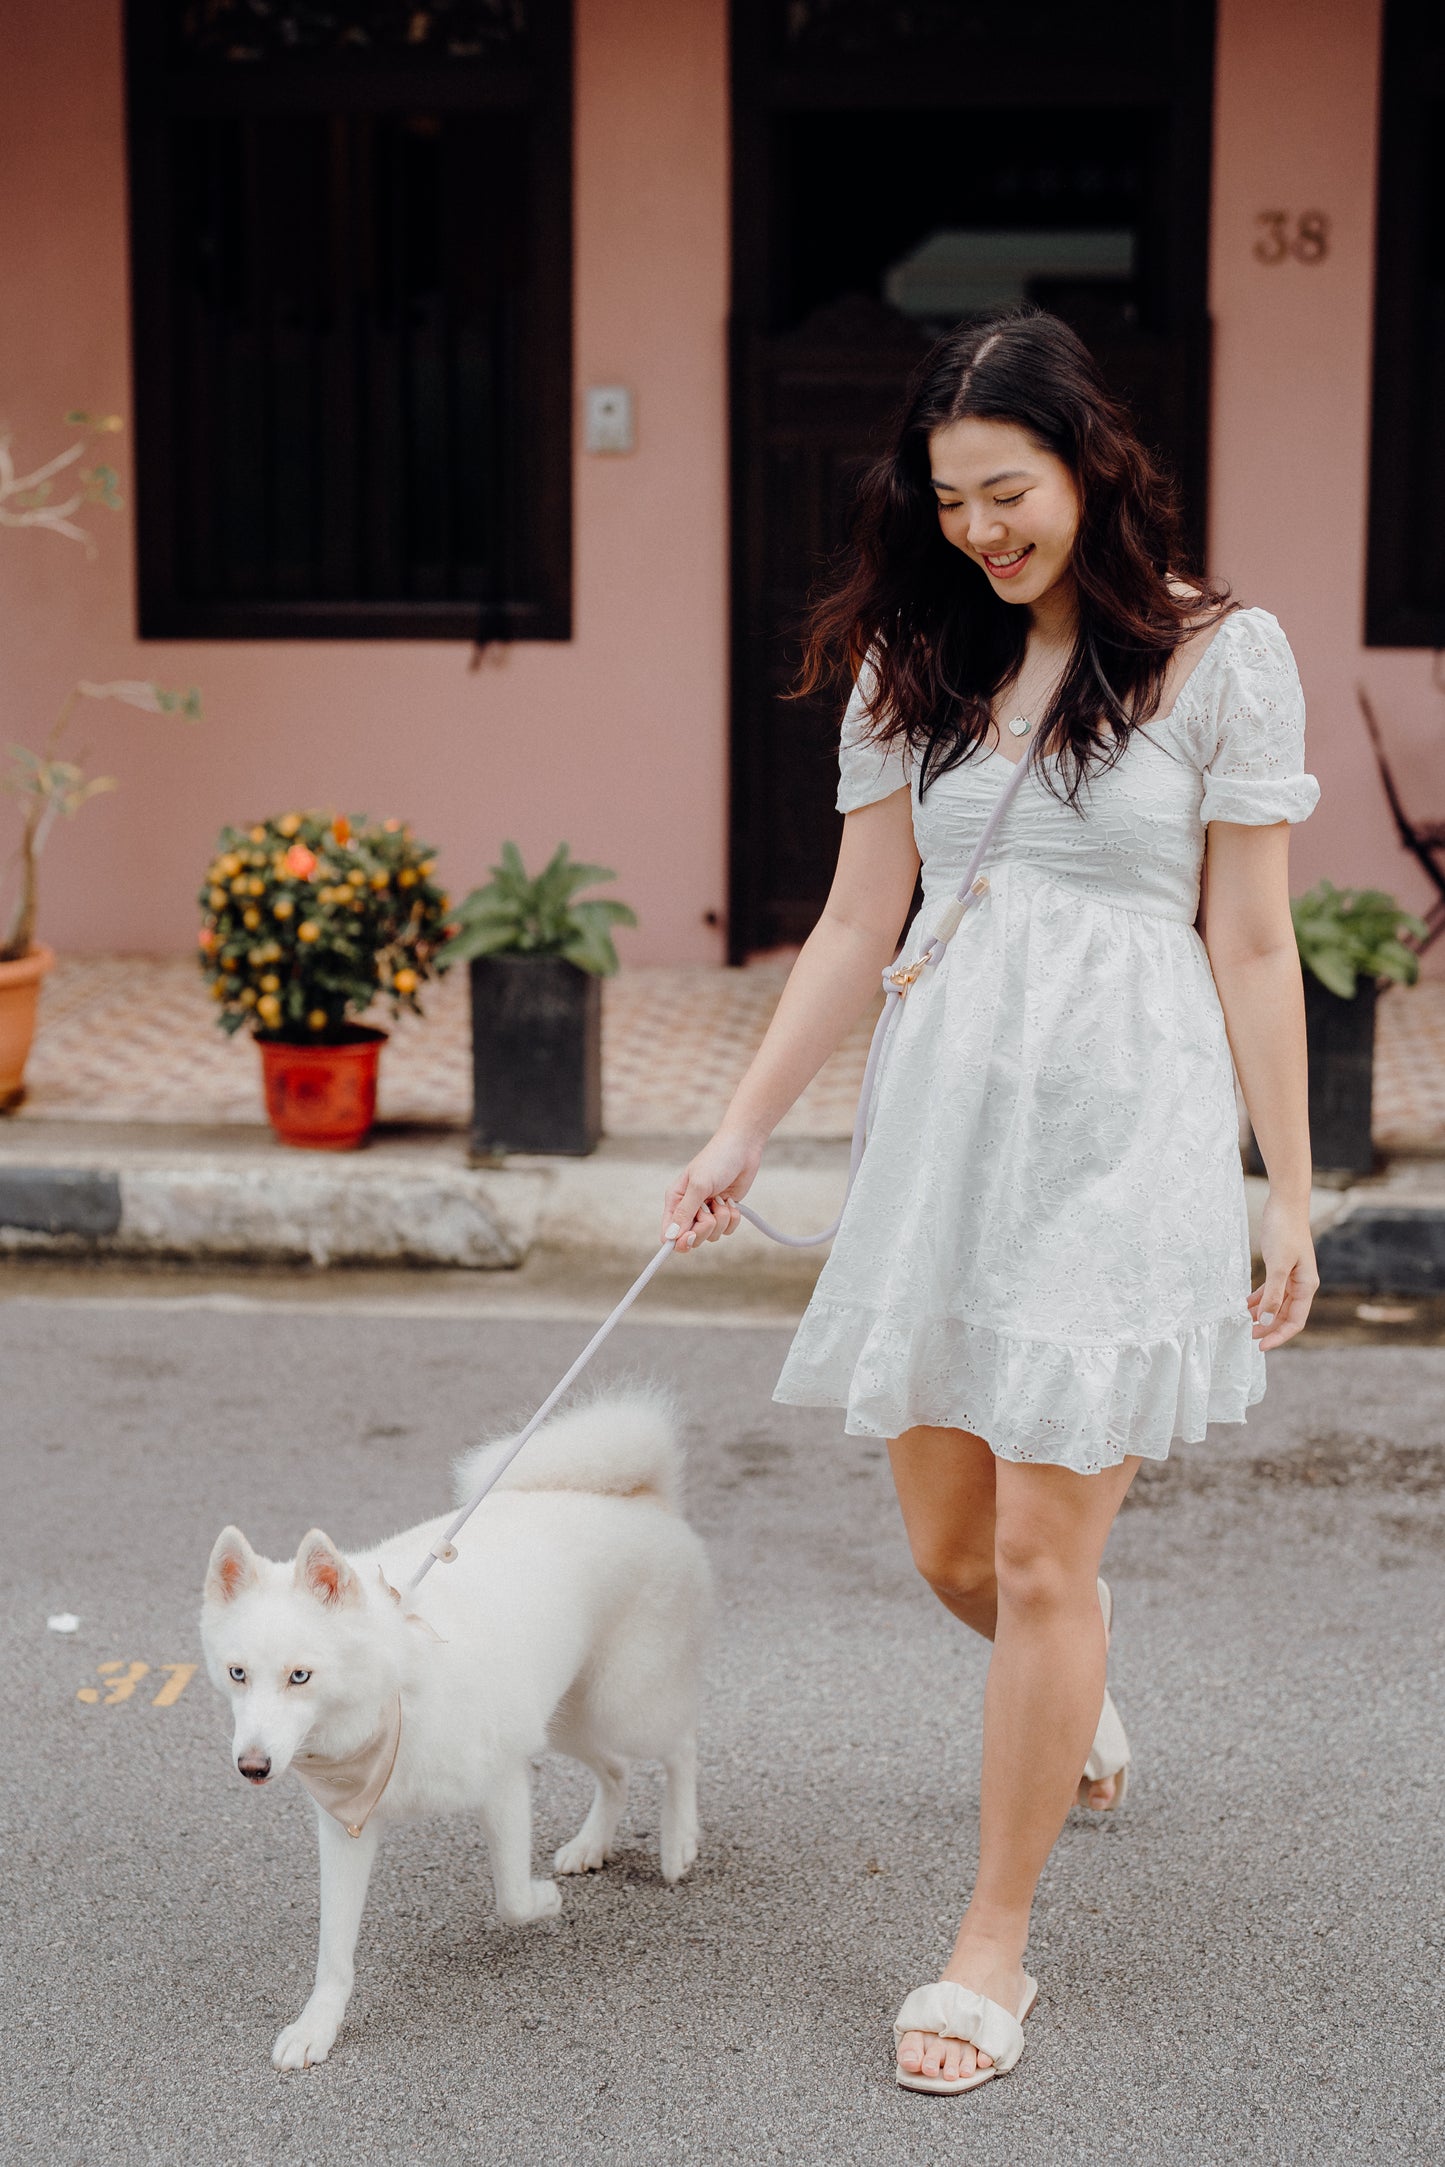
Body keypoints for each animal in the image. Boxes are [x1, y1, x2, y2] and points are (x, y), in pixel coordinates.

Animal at [202, 1395, 710, 2071]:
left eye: (299, 1676)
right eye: (238, 1673)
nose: (252, 1766)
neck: (395, 1692)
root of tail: (643, 1496)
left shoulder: (503, 1784)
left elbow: (513, 1900)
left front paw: (546, 1902)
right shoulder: (347, 1828)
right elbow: (333, 1955)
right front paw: (318, 2027)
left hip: (624, 1701)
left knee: (680, 1745)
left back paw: (679, 1841)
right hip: (568, 1716)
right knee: (617, 1770)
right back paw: (591, 1844)